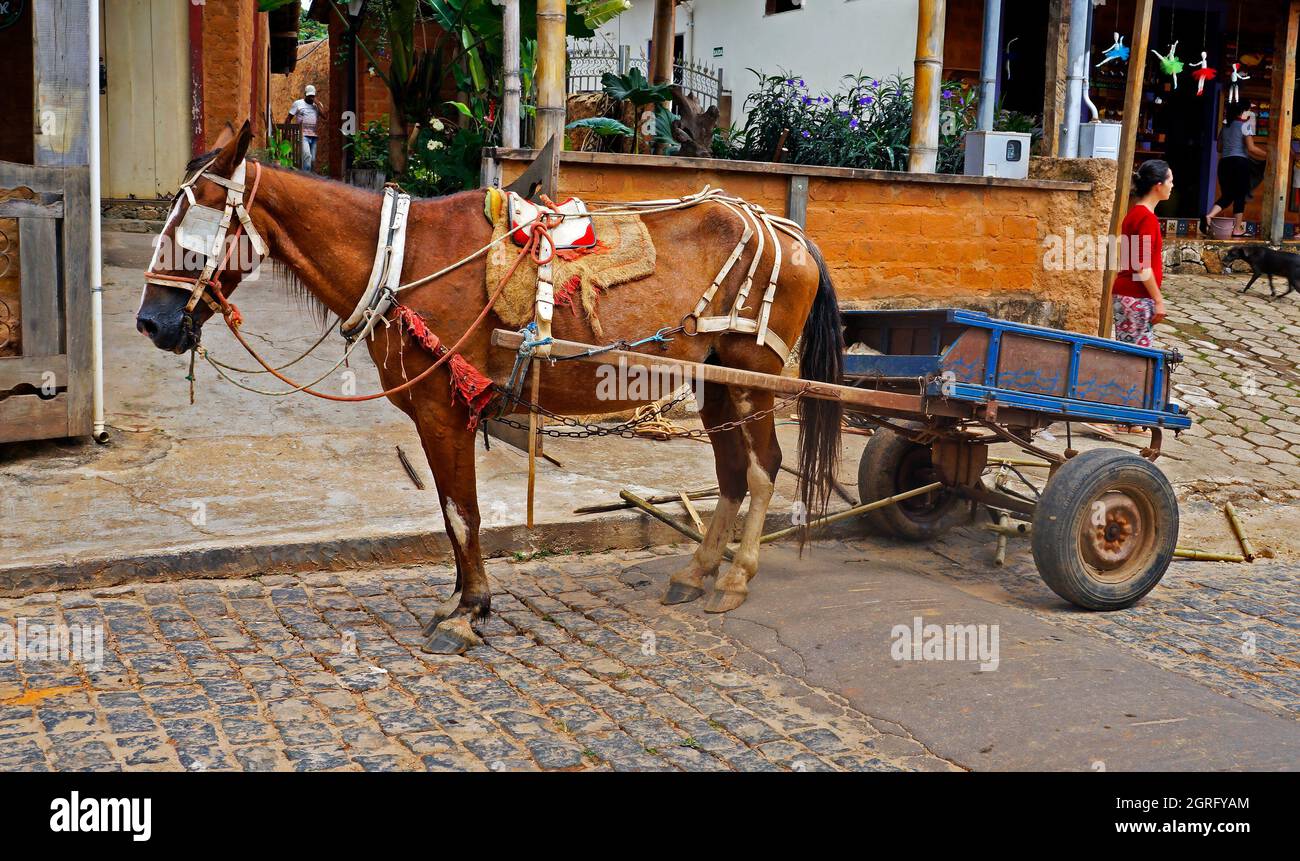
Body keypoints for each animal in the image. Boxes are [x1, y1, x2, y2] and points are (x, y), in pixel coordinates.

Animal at [139, 122, 842, 655]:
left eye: (189, 224)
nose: (151, 322)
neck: (403, 259)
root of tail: (790, 233)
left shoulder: (443, 409)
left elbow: (462, 512)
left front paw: (468, 611)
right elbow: (453, 514)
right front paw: (461, 601)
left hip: (754, 378)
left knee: (763, 466)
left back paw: (735, 579)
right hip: (714, 380)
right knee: (731, 473)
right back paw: (696, 572)